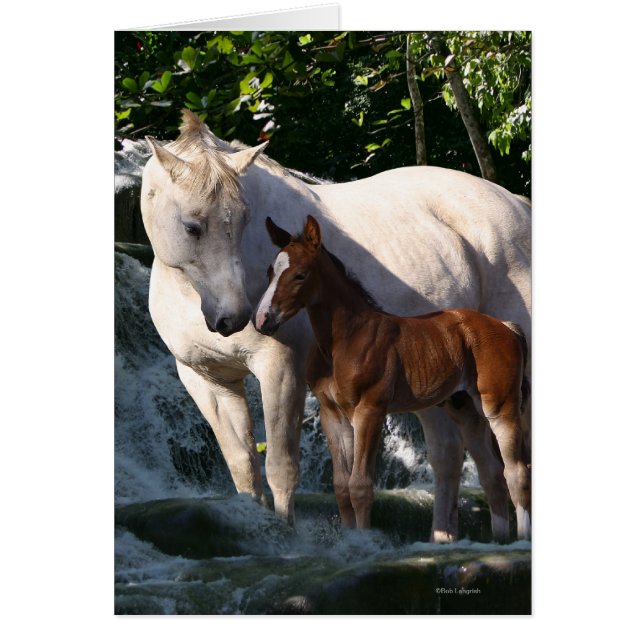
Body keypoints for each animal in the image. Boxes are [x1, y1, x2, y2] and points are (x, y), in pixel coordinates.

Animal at [255, 216, 531, 541]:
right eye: (270, 271)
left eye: (300, 275)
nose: (262, 320)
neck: (345, 340)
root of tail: (506, 326)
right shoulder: (332, 416)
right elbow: (341, 487)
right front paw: (350, 540)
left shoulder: (370, 411)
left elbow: (360, 486)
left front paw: (363, 541)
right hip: (465, 409)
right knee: (492, 475)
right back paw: (498, 540)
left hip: (500, 407)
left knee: (516, 472)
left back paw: (520, 539)